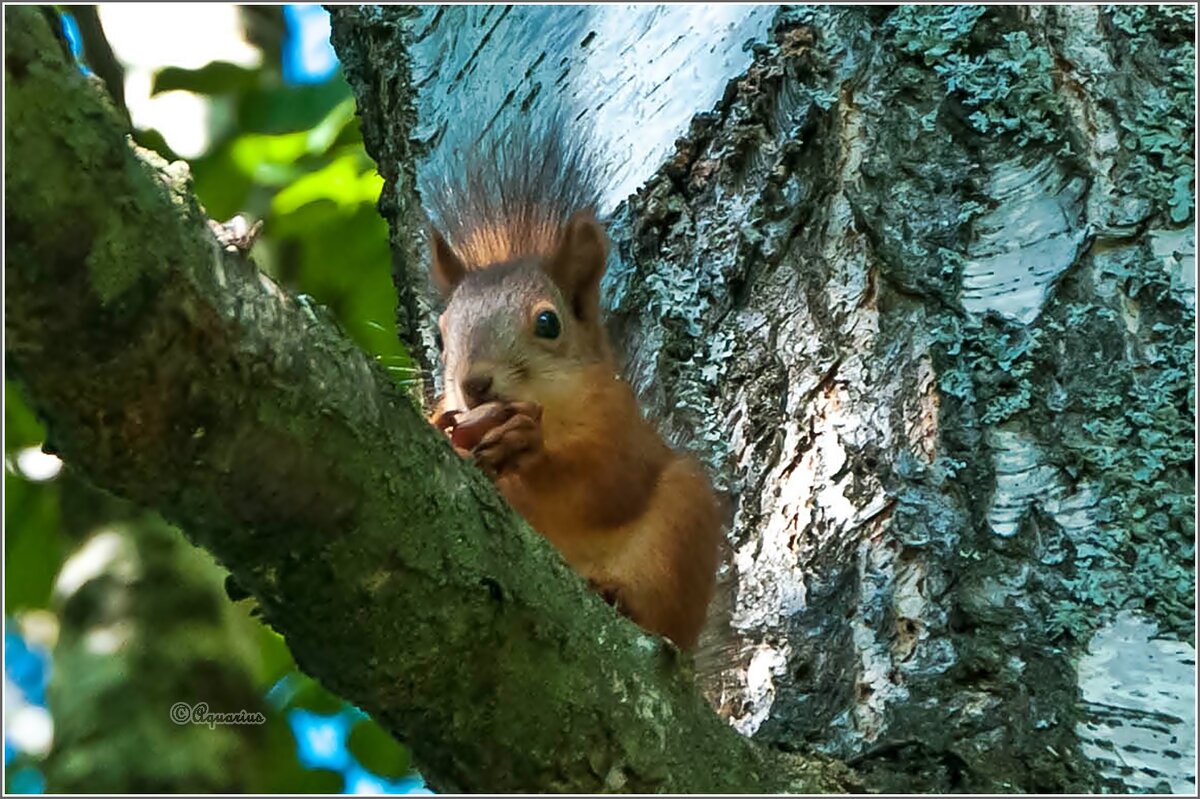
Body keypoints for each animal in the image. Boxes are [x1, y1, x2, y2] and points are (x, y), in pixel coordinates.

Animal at [422, 118, 720, 647]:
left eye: (548, 323)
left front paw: (527, 443)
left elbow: (606, 480)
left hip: (682, 526)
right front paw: (445, 431)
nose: (474, 385)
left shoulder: (621, 424)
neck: (547, 403)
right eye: (439, 335)